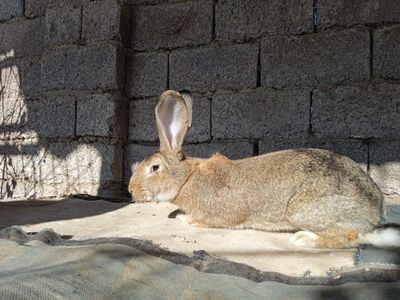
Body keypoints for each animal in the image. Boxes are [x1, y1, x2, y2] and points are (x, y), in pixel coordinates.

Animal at [129, 89, 400, 248]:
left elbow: (200, 221)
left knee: (352, 236)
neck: (187, 177)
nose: (131, 191)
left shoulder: (217, 215)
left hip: (304, 210)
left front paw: (183, 218)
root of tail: (374, 212)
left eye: (154, 167)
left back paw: (304, 239)